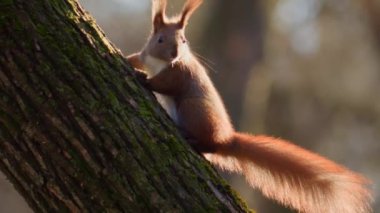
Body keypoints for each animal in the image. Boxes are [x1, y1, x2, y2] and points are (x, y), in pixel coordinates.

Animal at [127, 0, 372, 212]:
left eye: (184, 40)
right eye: (160, 39)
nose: (175, 54)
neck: (161, 63)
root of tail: (227, 139)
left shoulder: (179, 74)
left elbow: (165, 84)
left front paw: (144, 79)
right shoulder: (146, 57)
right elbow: (137, 58)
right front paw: (129, 62)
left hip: (193, 109)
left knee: (209, 145)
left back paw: (194, 139)